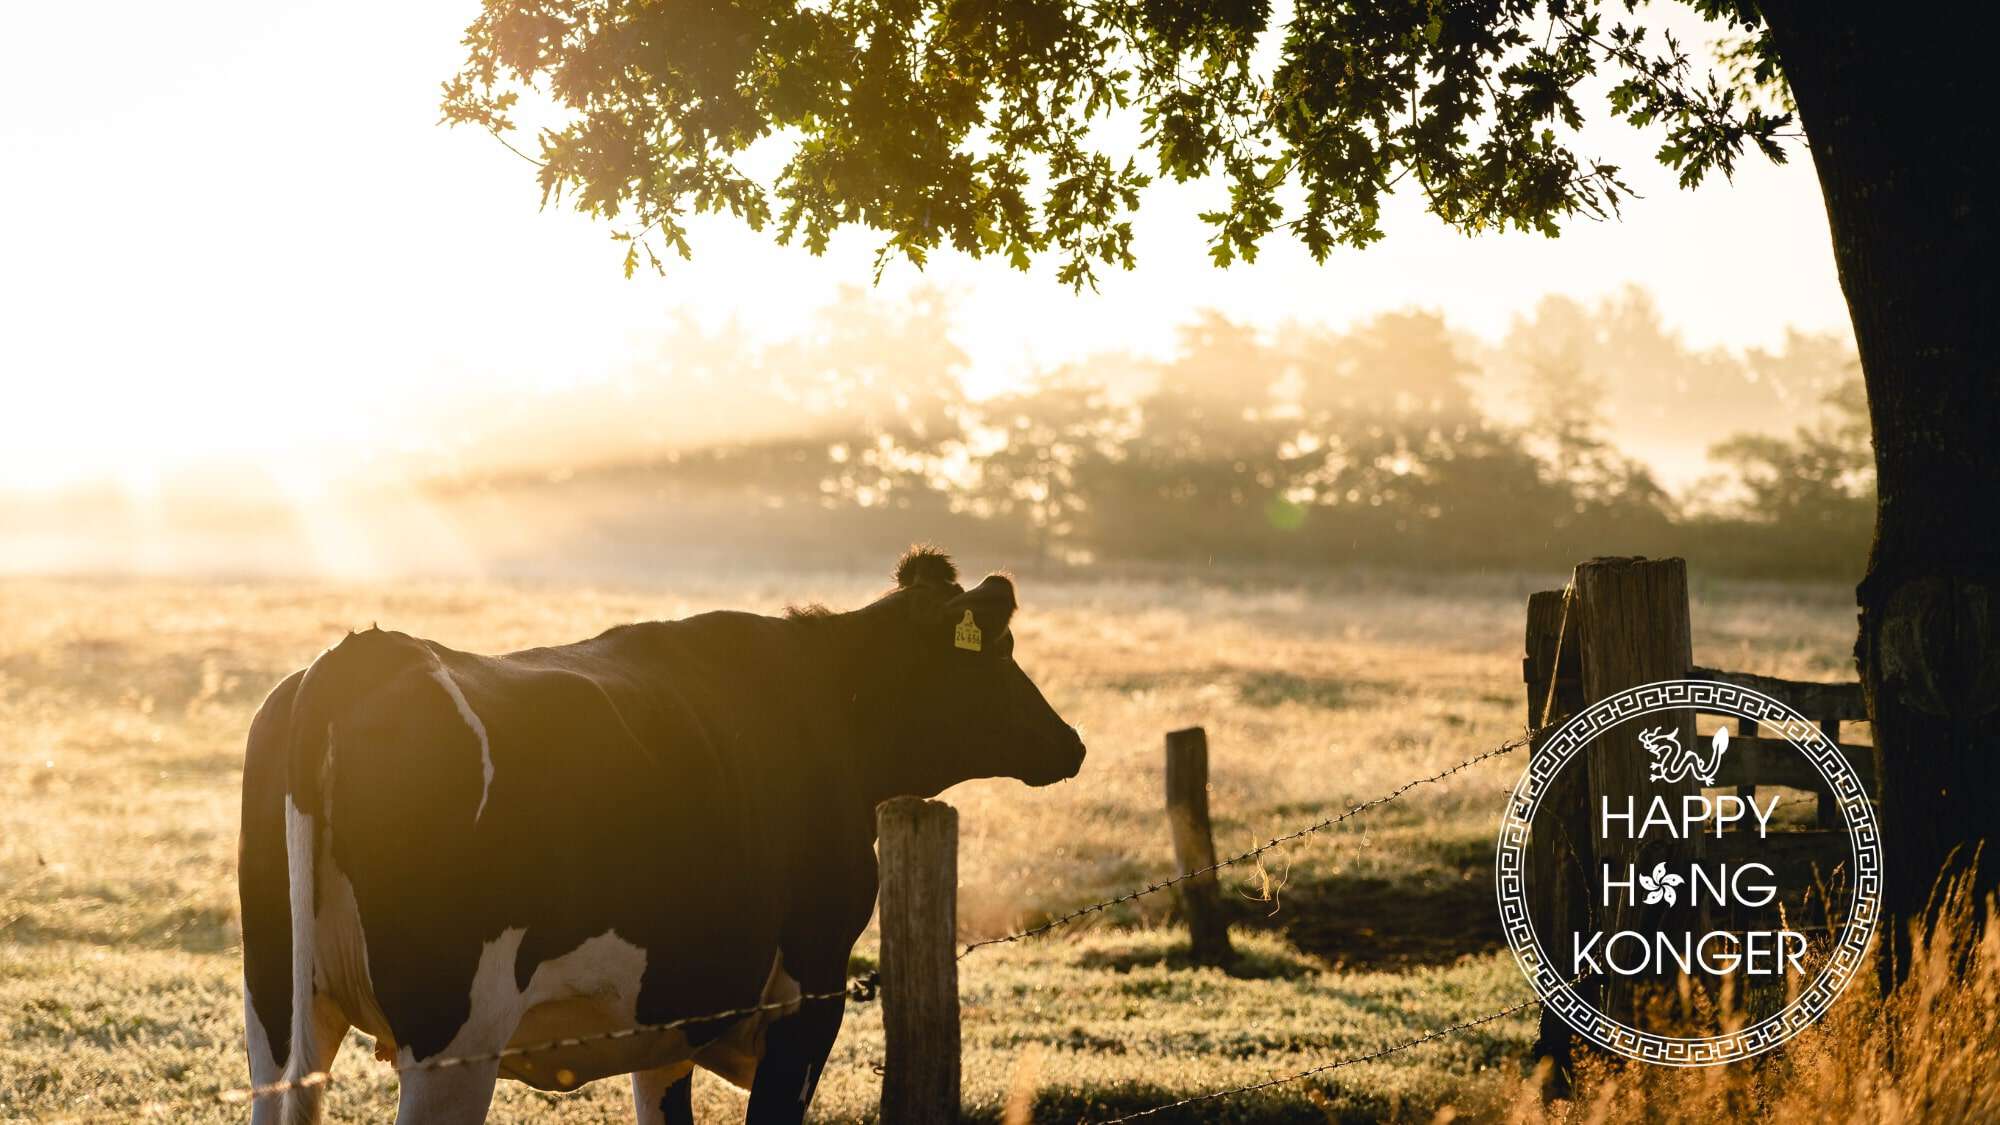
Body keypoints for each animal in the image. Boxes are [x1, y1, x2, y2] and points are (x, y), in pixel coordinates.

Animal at [240, 548, 1088, 1112]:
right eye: (1001, 650)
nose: (1071, 742)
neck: (826, 704)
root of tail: (364, 653)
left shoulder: (670, 1013)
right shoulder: (808, 992)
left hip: (279, 1017)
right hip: (453, 1037)